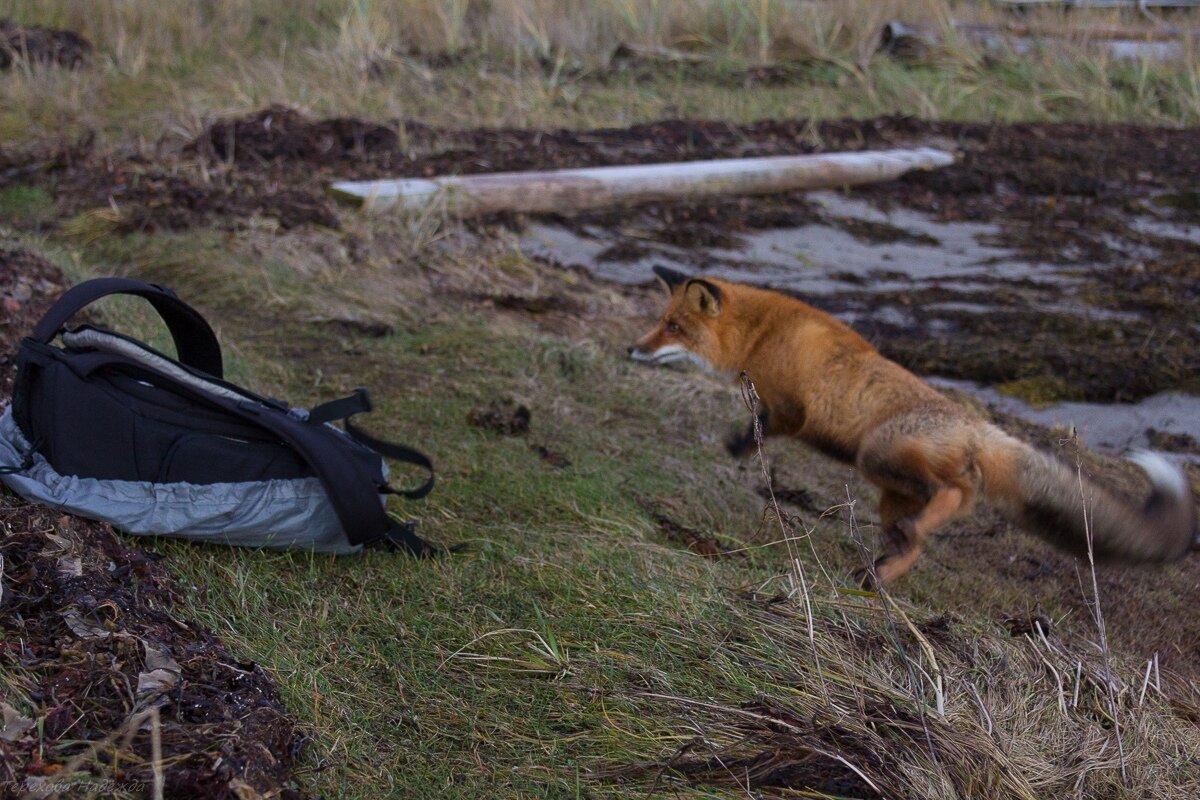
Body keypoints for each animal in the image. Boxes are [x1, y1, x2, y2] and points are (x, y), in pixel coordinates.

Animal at [633, 266, 1195, 585]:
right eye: (659, 322)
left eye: (673, 327)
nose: (632, 350)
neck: (765, 332)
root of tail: (979, 427)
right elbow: (753, 432)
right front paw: (733, 447)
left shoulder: (793, 409)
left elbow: (767, 430)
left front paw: (739, 448)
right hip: (890, 496)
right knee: (924, 536)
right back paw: (881, 574)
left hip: (878, 457)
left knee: (950, 494)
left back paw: (897, 554)